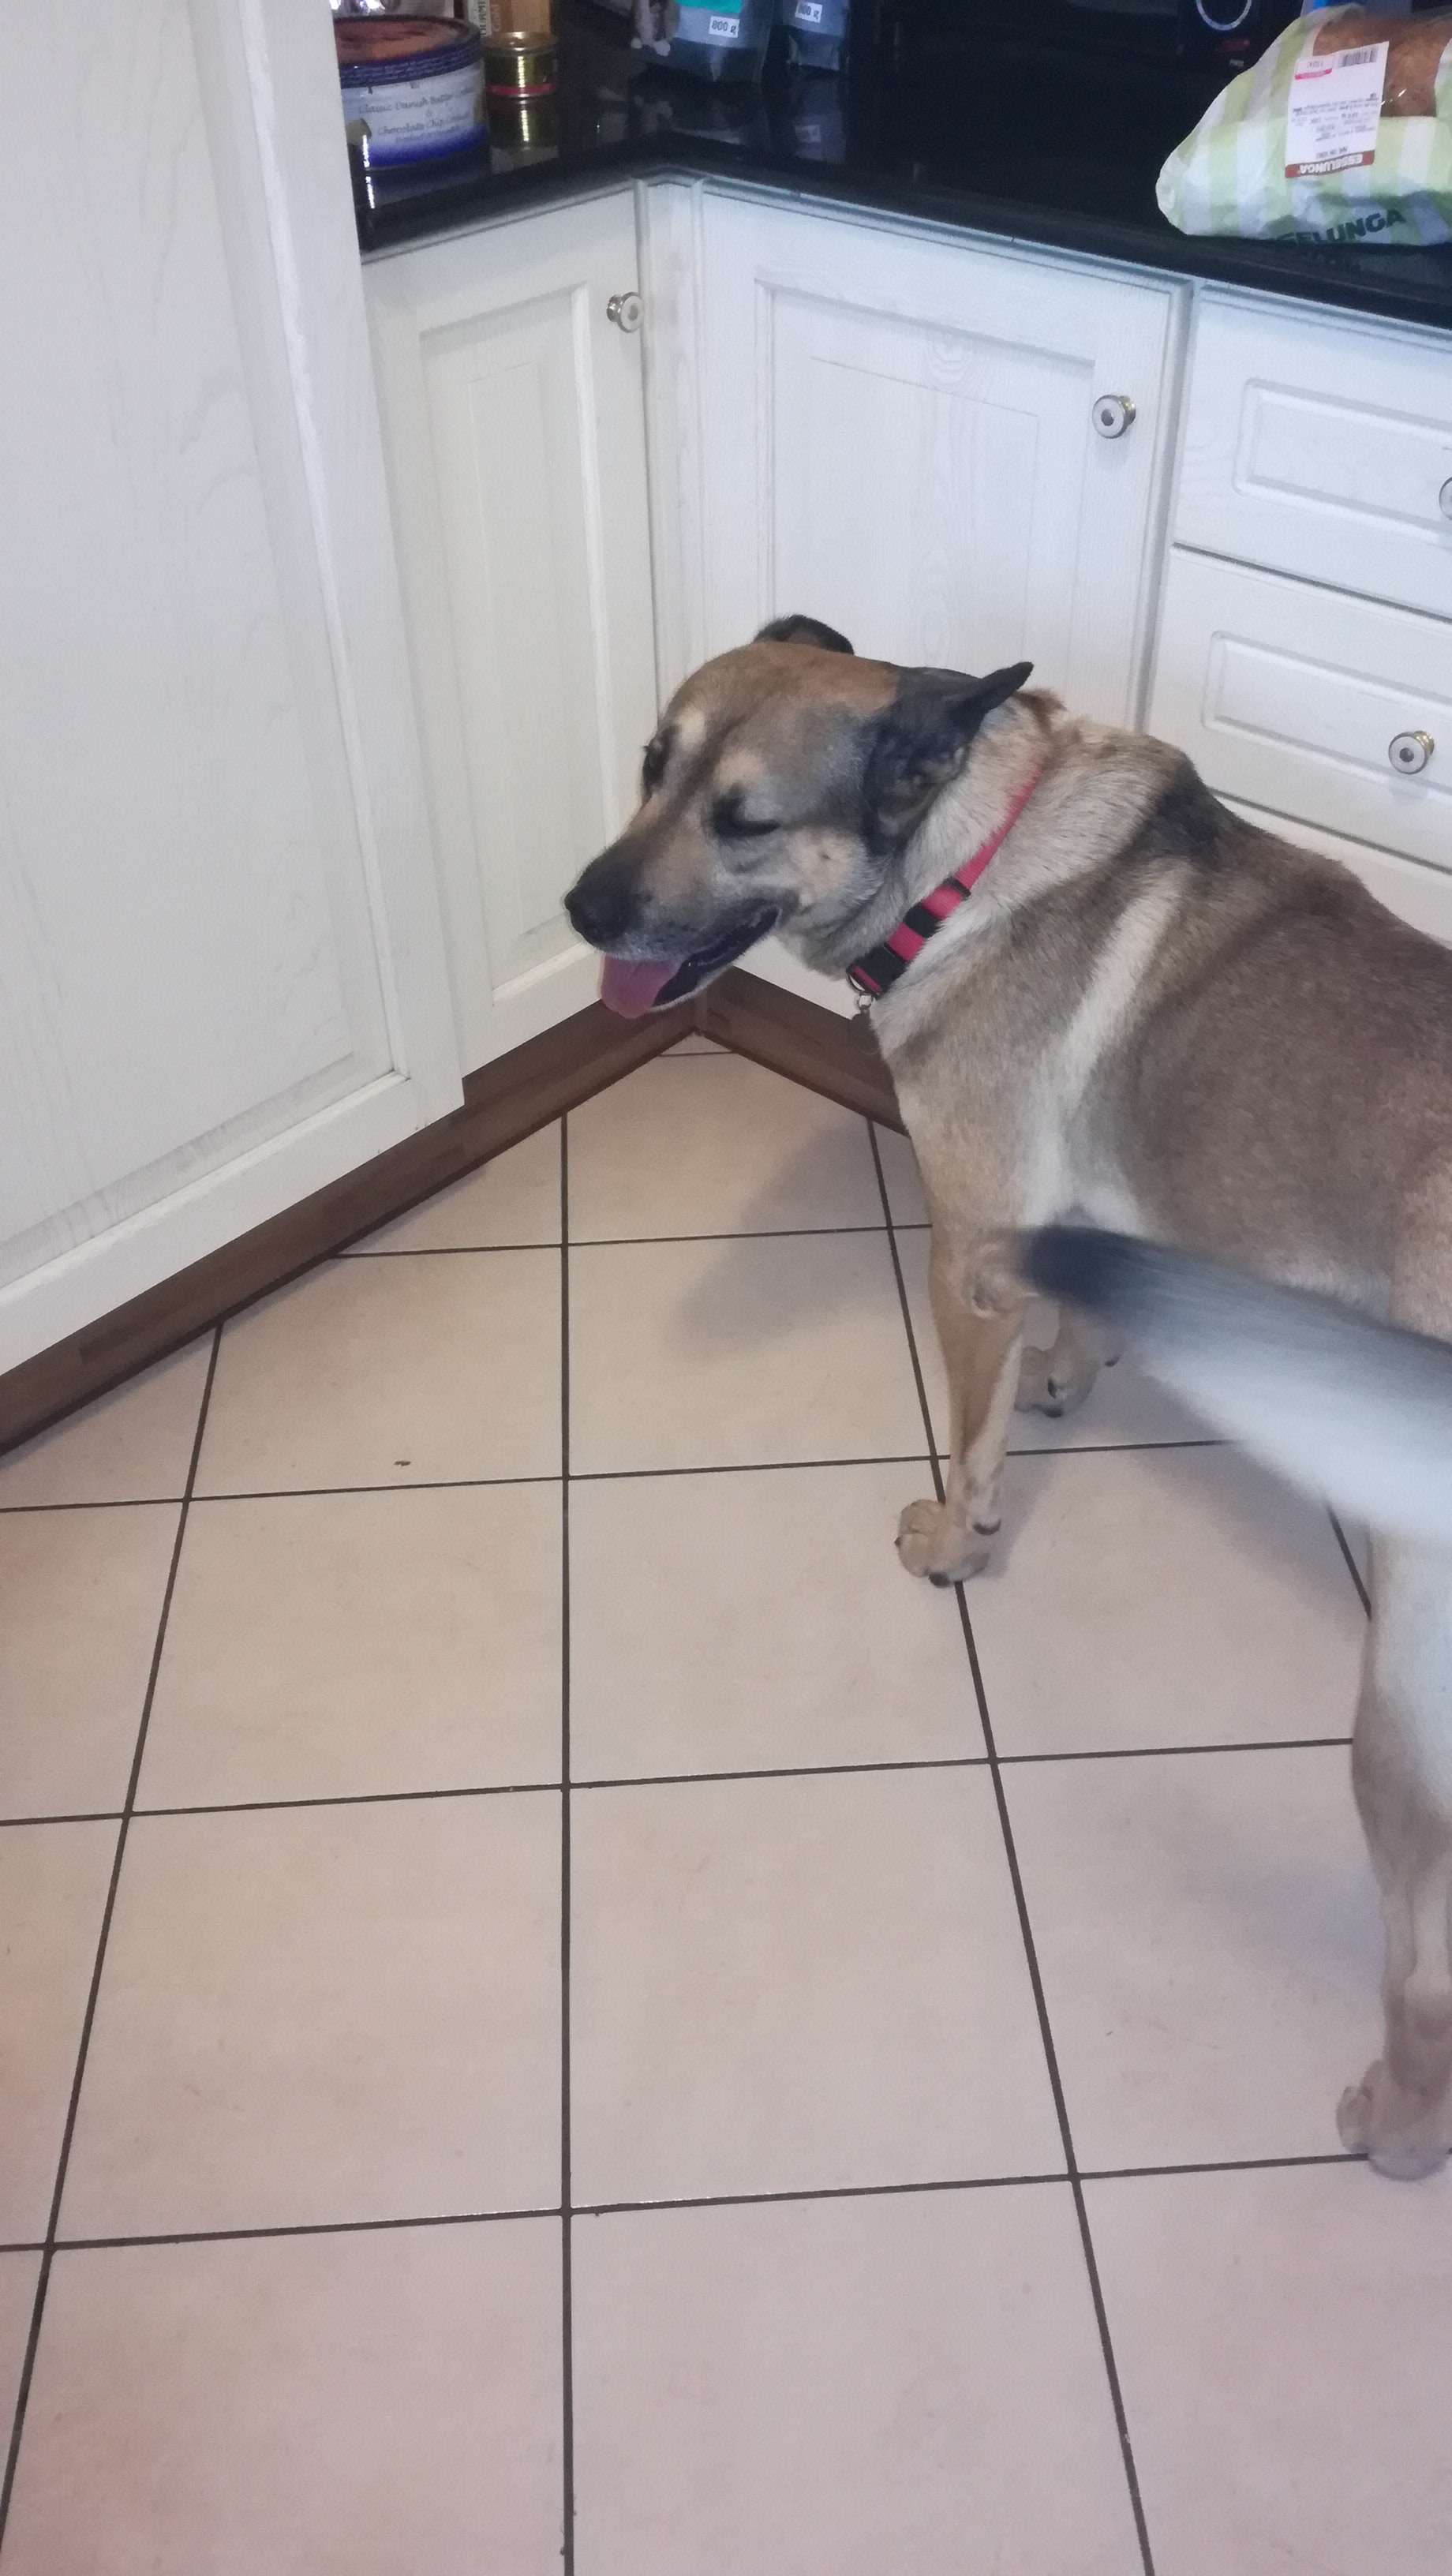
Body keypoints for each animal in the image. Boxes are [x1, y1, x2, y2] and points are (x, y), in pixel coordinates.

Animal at [565, 614, 1452, 2179]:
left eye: (745, 820)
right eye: (651, 767)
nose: (575, 909)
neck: (964, 859)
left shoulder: (966, 1253)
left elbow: (967, 1443)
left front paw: (953, 1541)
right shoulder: (1079, 1216)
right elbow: (1083, 1315)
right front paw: (1071, 1375)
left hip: (1404, 1708)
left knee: (1424, 1976)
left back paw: (1394, 2130)